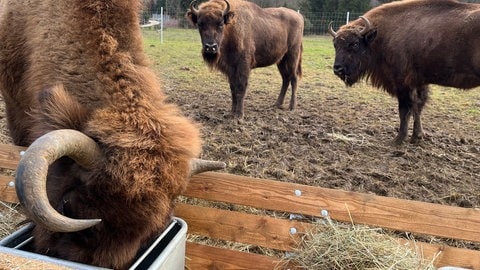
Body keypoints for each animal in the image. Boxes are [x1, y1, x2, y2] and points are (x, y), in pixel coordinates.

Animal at [328, 0, 480, 144]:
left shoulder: (402, 83)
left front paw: (398, 140)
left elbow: (405, 110)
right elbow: (417, 107)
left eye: (354, 44)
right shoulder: (419, 82)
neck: (382, 34)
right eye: (335, 45)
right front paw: (416, 137)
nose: (338, 69)